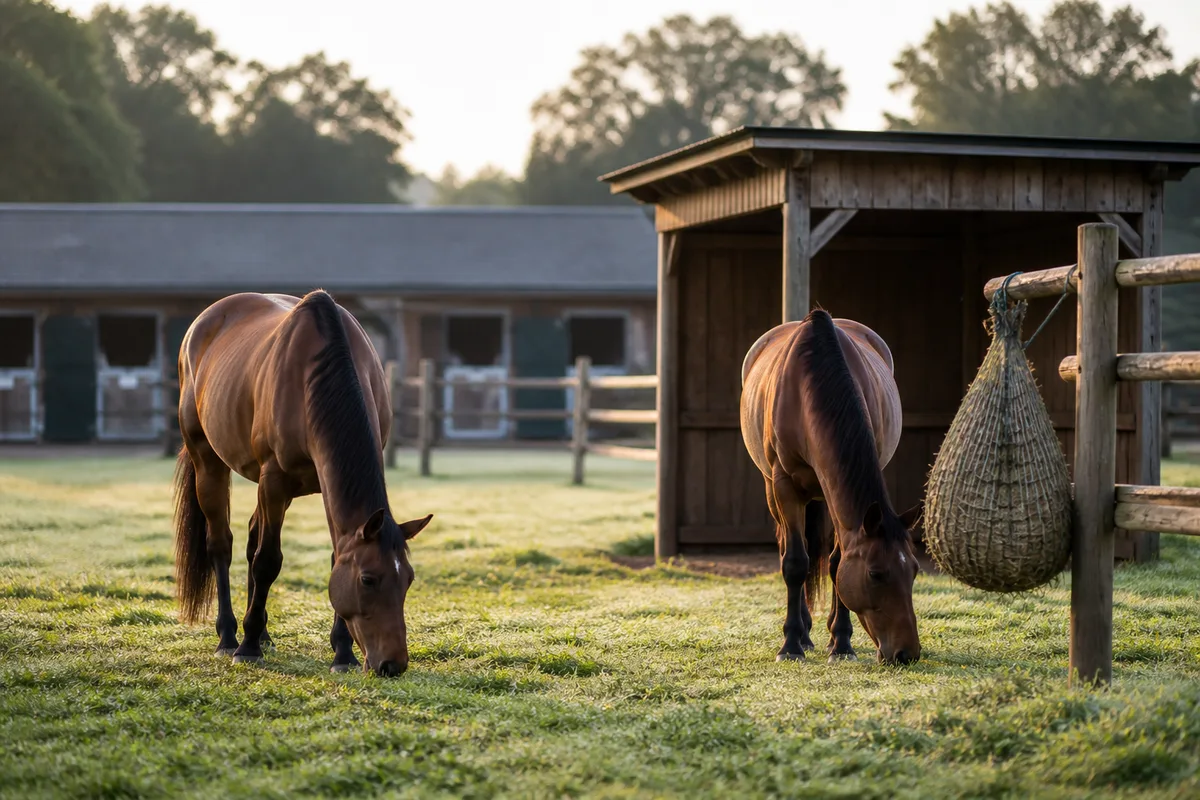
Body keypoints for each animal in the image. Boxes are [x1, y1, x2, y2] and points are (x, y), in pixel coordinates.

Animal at [172, 289, 433, 677]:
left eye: (409, 580)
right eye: (368, 579)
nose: (393, 665)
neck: (316, 374)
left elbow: (331, 555)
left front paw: (342, 653)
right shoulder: (274, 480)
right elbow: (267, 560)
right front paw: (247, 648)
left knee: (250, 539)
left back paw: (262, 632)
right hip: (209, 462)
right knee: (222, 544)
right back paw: (230, 636)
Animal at [740, 309, 922, 665]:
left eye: (915, 571)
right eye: (876, 574)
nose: (907, 653)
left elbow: (837, 563)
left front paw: (841, 642)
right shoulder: (784, 486)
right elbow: (795, 562)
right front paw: (791, 644)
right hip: (774, 490)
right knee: (789, 549)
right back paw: (803, 633)